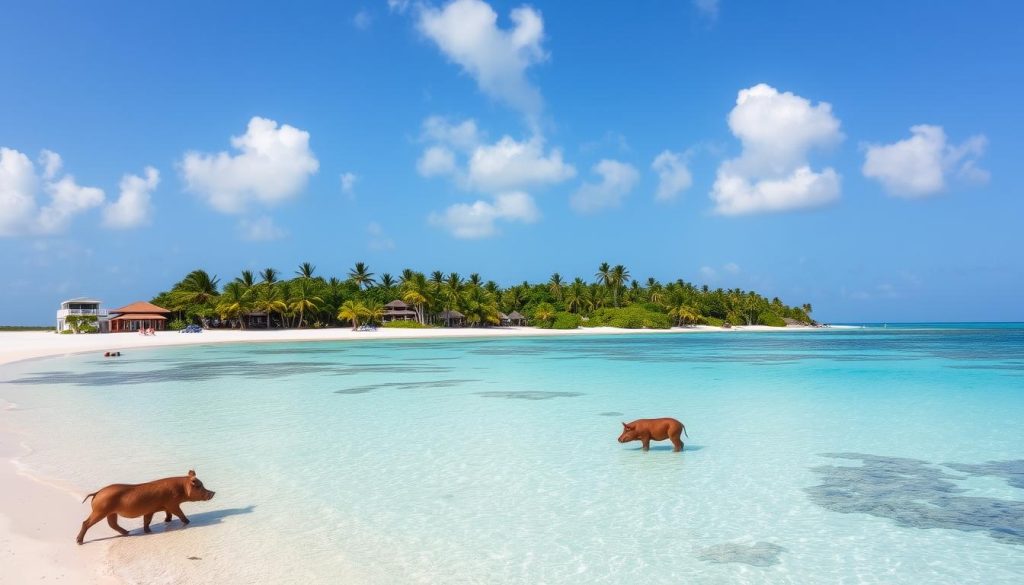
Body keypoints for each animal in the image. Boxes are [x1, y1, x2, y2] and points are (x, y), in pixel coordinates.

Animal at [76, 470, 215, 545]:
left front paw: (153, 528)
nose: (213, 492)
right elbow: (179, 514)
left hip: (111, 513)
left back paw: (128, 532)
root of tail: (97, 493)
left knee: (112, 524)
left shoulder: (152, 510)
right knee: (86, 522)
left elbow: (150, 519)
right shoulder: (173, 504)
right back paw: (79, 541)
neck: (181, 489)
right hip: (100, 510)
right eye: (200, 486)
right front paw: (188, 522)